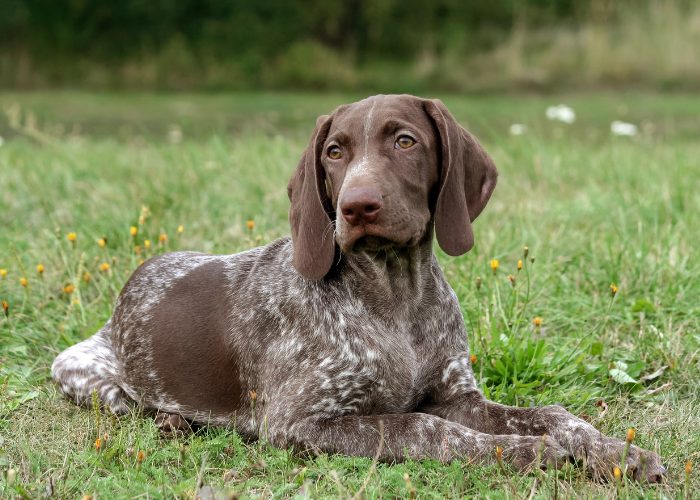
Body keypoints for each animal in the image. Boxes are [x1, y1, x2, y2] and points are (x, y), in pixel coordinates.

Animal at [52, 94, 664, 480]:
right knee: (128, 403)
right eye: (334, 151)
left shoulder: (458, 396)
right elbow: (424, 429)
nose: (356, 206)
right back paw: (172, 419)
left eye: (405, 141)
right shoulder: (300, 422)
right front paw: (526, 452)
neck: (395, 297)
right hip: (80, 372)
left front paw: (615, 451)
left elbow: (556, 414)